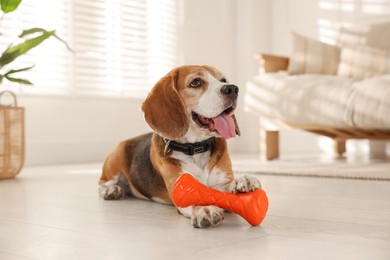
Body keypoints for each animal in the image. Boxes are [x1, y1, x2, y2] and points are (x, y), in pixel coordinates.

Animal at [99, 64, 260, 228]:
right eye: (196, 82)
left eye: (223, 80)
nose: (232, 89)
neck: (196, 149)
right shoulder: (179, 188)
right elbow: (193, 199)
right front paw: (204, 209)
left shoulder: (219, 181)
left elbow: (220, 189)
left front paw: (240, 182)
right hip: (114, 162)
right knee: (101, 183)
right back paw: (111, 190)